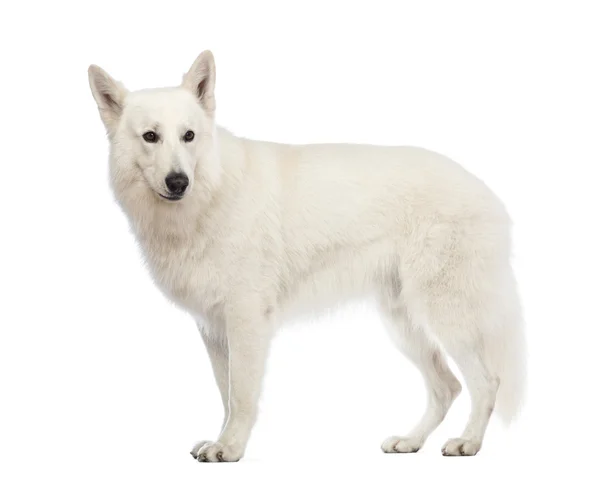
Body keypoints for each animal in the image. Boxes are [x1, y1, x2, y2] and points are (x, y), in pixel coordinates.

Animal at [88, 50, 524, 462]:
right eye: (150, 136)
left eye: (189, 136)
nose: (179, 182)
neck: (211, 193)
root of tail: (488, 193)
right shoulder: (214, 328)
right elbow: (225, 395)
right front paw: (222, 441)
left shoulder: (246, 321)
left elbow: (240, 396)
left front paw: (230, 449)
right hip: (402, 322)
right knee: (446, 387)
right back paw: (411, 441)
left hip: (445, 315)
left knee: (487, 382)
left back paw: (468, 443)